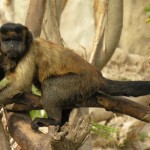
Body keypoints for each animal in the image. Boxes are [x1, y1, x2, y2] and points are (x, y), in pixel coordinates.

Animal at [0, 22, 150, 129]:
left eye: (17, 40)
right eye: (7, 40)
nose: (12, 45)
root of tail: (97, 76)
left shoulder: (29, 52)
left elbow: (19, 84)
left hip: (82, 82)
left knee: (50, 85)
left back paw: (54, 121)